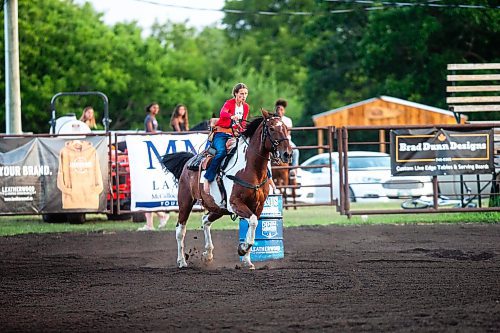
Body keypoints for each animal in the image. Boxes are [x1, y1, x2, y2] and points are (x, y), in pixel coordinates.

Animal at [160, 109, 292, 268]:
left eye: (286, 128)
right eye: (271, 128)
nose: (287, 154)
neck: (250, 169)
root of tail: (188, 162)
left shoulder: (258, 206)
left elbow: (253, 225)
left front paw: (247, 260)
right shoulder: (235, 203)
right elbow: (253, 222)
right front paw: (243, 249)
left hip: (219, 208)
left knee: (205, 220)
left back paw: (208, 255)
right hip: (185, 201)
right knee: (180, 229)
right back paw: (182, 261)